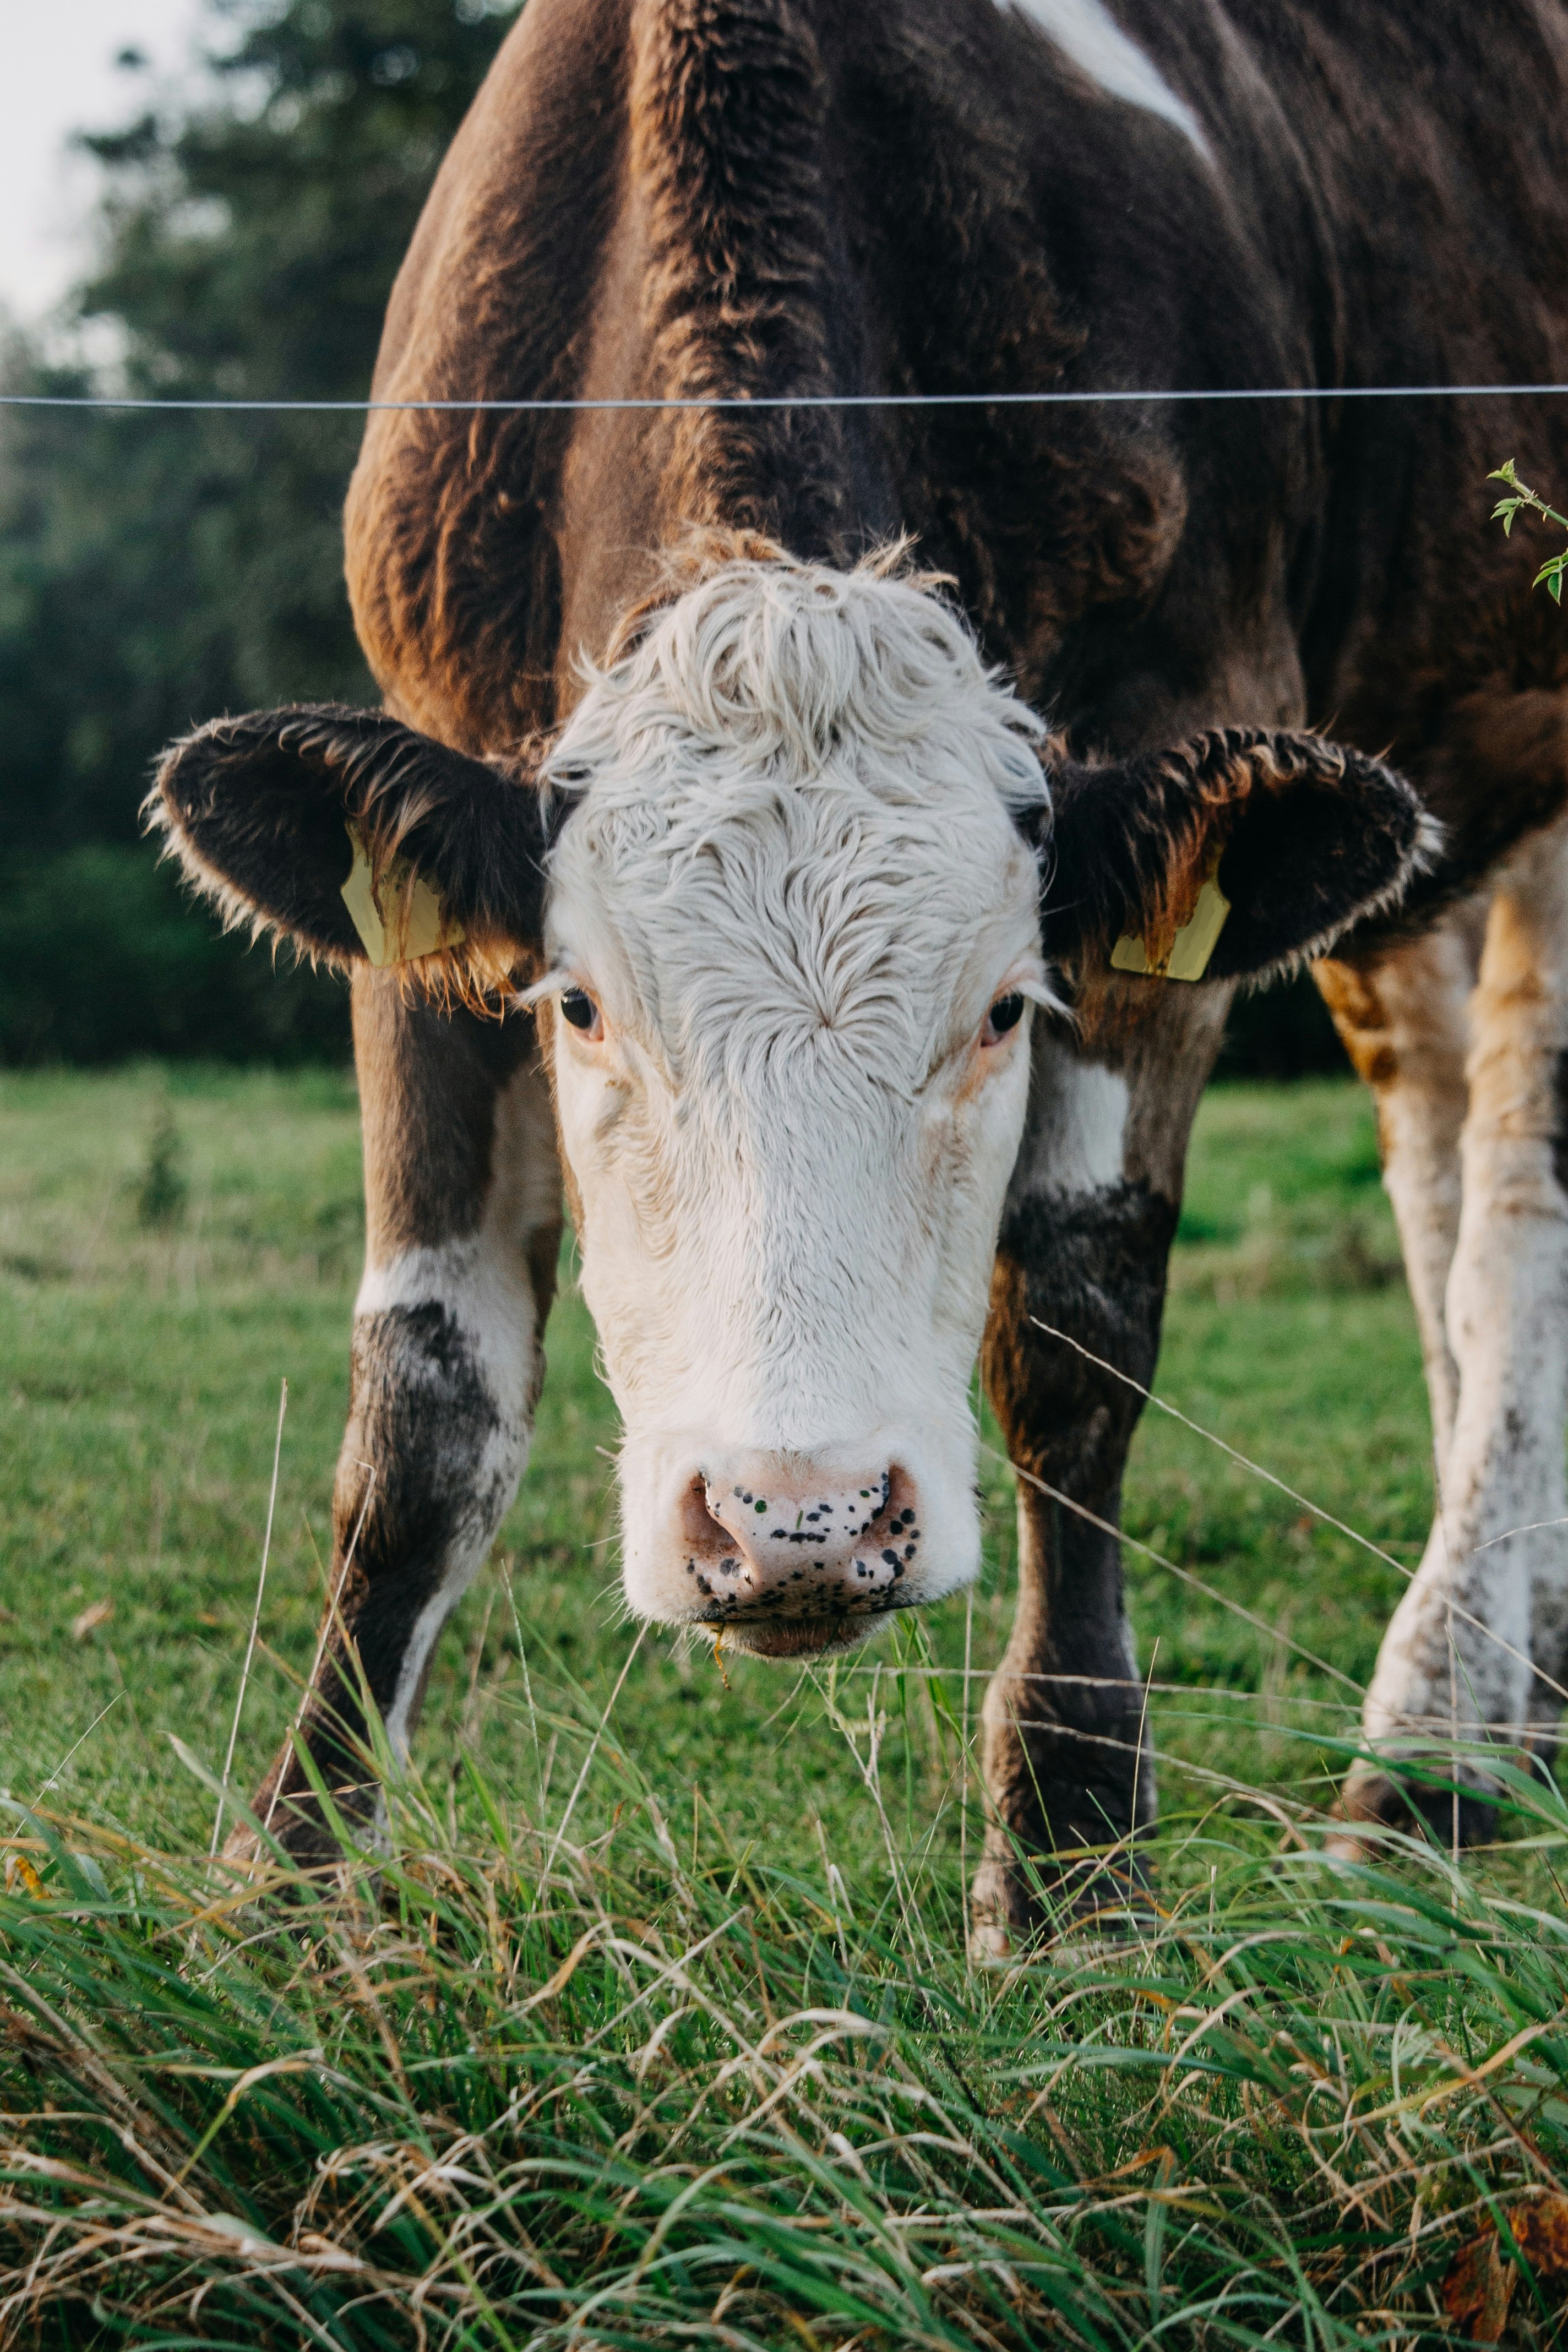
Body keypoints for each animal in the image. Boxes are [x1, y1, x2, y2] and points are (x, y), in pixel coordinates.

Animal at [153, 9, 1568, 1938]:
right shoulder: (430, 810)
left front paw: (1067, 1851)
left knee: (1516, 1200)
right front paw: (292, 1874)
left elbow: (1072, 1337)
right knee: (1434, 1164)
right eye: (581, 1006)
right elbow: (426, 1393)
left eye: (1001, 1010)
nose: (795, 1523)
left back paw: (1431, 1748)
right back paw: (1498, 1703)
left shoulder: (1177, 744)